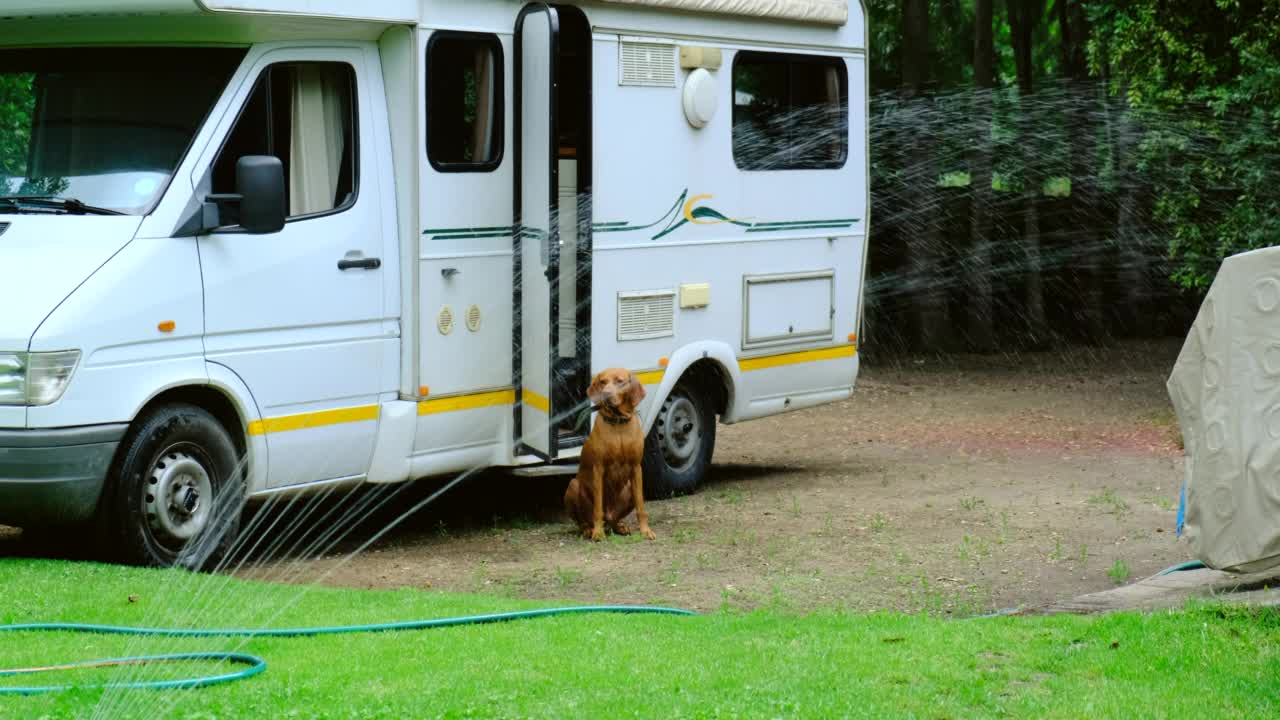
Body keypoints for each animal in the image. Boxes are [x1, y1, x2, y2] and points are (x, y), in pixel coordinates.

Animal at [563, 363, 655, 538]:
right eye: (602, 382)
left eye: (620, 381)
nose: (606, 394)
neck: (618, 424)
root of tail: (610, 516)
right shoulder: (598, 468)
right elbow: (597, 508)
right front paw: (598, 533)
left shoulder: (636, 467)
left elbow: (641, 507)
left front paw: (645, 531)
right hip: (573, 485)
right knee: (583, 520)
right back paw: (590, 529)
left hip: (628, 489)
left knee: (614, 520)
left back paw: (620, 526)